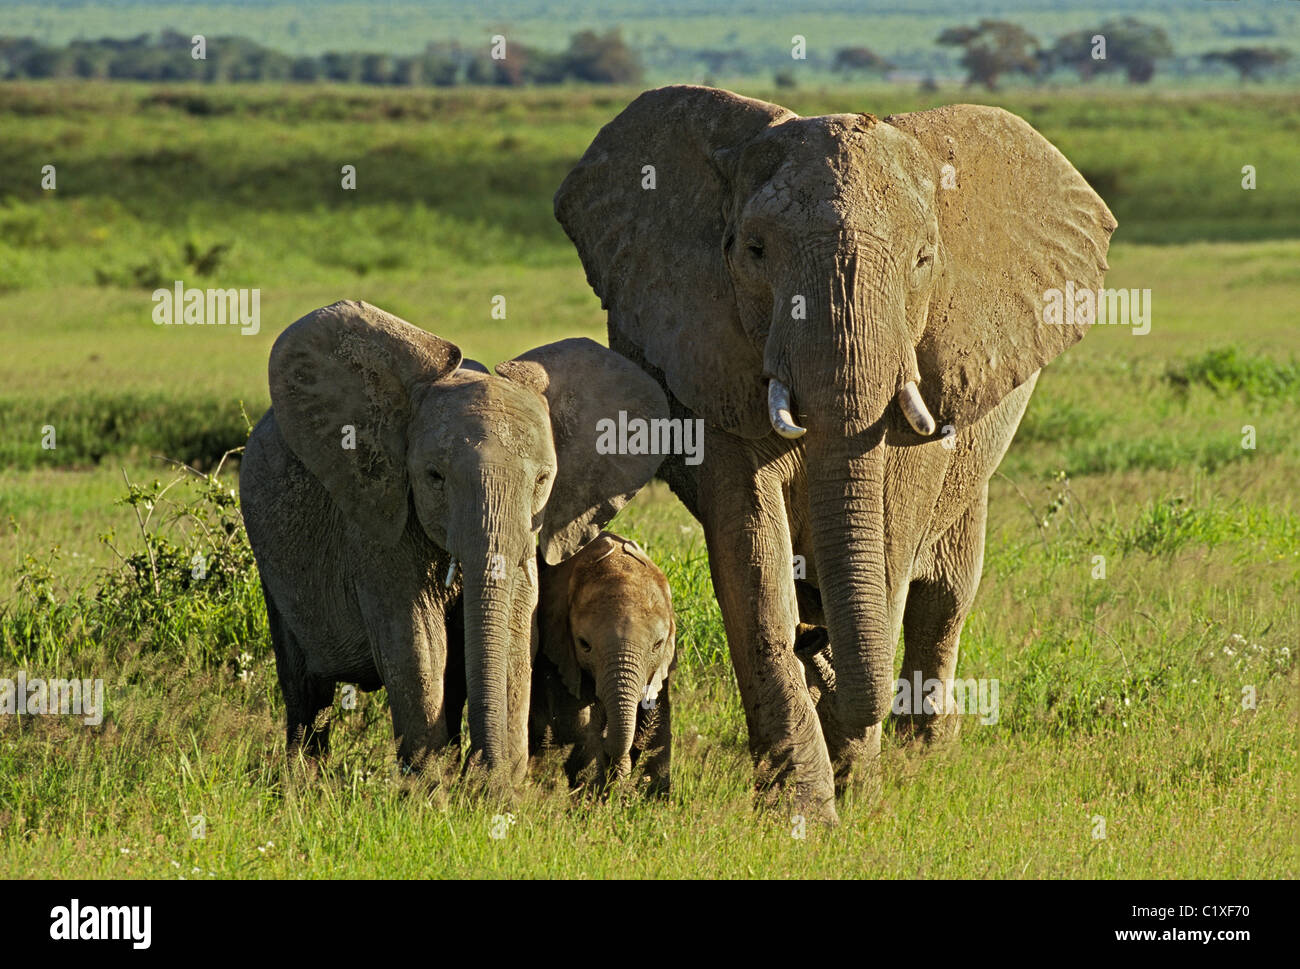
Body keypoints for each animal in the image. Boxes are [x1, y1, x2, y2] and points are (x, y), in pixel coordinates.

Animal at [529, 531, 676, 795]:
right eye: (584, 644)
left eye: (657, 645)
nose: (607, 733)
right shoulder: (557, 653)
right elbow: (577, 725)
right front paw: (595, 797)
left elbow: (658, 720)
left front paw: (649, 797)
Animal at [554, 86, 1116, 822]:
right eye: (754, 250)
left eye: (924, 259)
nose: (816, 648)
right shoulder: (716, 350)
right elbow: (751, 559)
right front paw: (803, 811)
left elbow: (892, 531)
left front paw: (860, 788)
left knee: (944, 596)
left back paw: (923, 756)